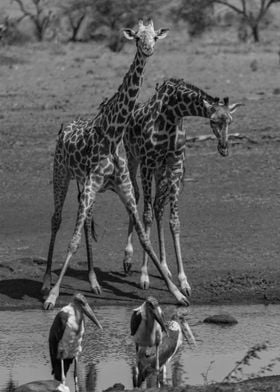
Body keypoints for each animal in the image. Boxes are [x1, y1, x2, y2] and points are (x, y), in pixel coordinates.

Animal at [41, 20, 190, 310]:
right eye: (137, 38)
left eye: (155, 37)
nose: (148, 49)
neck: (112, 134)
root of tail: (65, 126)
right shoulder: (91, 186)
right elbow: (72, 241)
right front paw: (53, 296)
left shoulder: (125, 190)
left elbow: (145, 238)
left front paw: (177, 293)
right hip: (61, 174)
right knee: (56, 219)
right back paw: (45, 282)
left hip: (83, 186)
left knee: (87, 221)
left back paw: (93, 282)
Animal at [123, 79, 243, 294]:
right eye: (213, 121)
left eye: (230, 121)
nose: (224, 148)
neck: (172, 114)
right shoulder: (147, 163)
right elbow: (146, 216)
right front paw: (144, 276)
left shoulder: (175, 165)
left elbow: (174, 221)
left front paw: (183, 281)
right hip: (133, 157)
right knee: (135, 196)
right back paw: (127, 259)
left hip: (160, 171)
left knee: (158, 206)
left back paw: (163, 266)